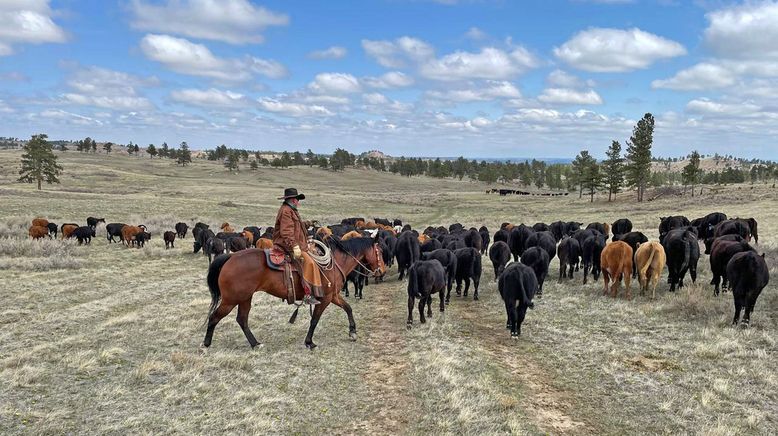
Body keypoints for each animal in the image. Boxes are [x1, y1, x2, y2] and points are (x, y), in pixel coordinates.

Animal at [203, 235, 384, 350]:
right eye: (380, 251)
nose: (381, 270)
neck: (333, 265)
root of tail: (230, 258)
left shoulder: (333, 296)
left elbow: (348, 308)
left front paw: (353, 332)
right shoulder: (325, 298)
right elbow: (315, 320)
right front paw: (309, 342)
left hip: (245, 298)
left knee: (242, 319)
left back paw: (255, 344)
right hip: (231, 300)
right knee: (214, 317)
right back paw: (206, 344)